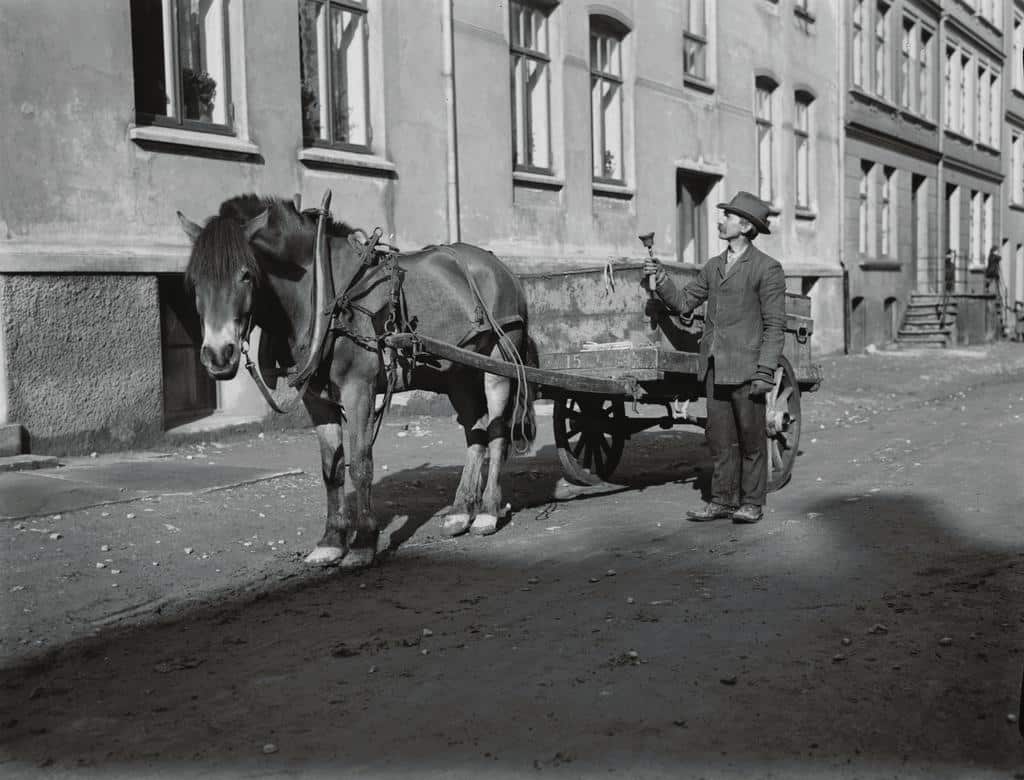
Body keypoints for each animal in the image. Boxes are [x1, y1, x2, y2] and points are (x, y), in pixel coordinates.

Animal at [179, 193, 540, 573]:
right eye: (194, 281)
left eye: (246, 275)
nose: (218, 354)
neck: (322, 292)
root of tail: (502, 268)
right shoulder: (317, 399)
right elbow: (332, 470)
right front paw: (331, 541)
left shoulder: (359, 391)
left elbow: (362, 465)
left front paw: (363, 542)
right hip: (457, 372)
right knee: (476, 431)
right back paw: (461, 510)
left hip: (499, 364)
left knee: (498, 434)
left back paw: (487, 511)